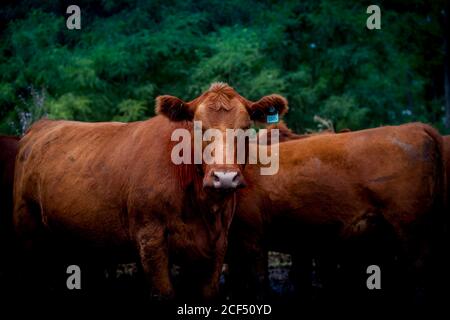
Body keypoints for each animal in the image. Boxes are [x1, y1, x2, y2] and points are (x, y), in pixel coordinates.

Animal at [13, 83, 288, 300]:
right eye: (198, 127)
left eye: (246, 128)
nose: (225, 177)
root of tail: (41, 126)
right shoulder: (150, 239)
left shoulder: (217, 243)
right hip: (27, 230)